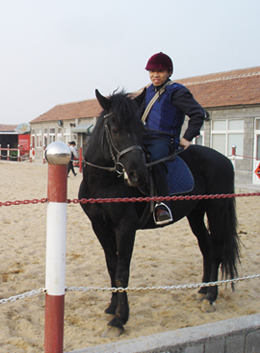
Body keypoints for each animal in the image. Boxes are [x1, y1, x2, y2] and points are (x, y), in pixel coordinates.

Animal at [78, 88, 240, 336]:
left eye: (140, 129)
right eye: (114, 130)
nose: (138, 175)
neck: (104, 181)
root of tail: (224, 159)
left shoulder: (125, 227)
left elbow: (122, 270)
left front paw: (120, 319)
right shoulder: (100, 227)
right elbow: (112, 266)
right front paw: (112, 308)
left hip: (216, 210)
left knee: (216, 250)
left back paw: (211, 297)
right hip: (195, 214)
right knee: (206, 247)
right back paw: (203, 290)